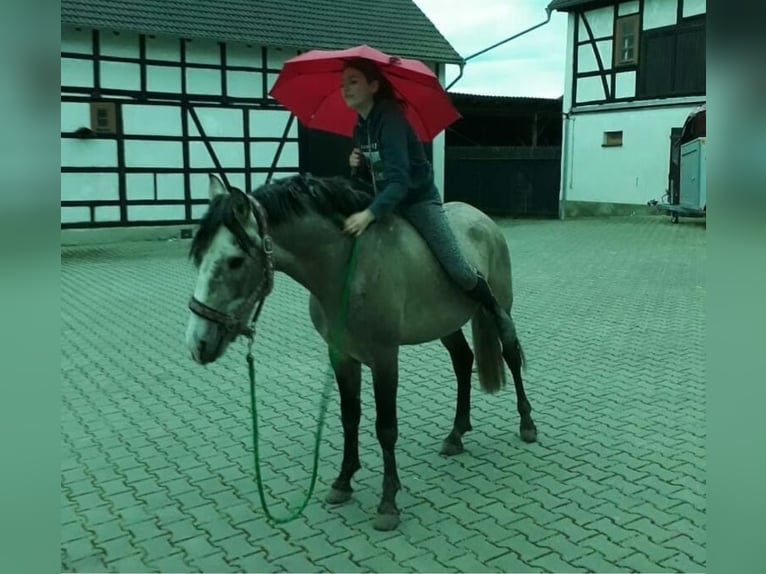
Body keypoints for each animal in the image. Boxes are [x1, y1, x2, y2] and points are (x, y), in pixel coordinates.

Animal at [184, 173, 540, 532]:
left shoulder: (384, 358)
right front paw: (343, 482)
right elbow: (349, 417)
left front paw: (388, 503)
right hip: (445, 323)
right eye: (199, 257)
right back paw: (456, 434)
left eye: (234, 260)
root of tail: (482, 218)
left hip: (498, 304)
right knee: (463, 361)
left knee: (510, 351)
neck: (346, 269)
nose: (198, 344)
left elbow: (386, 428)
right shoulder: (342, 355)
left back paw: (527, 424)